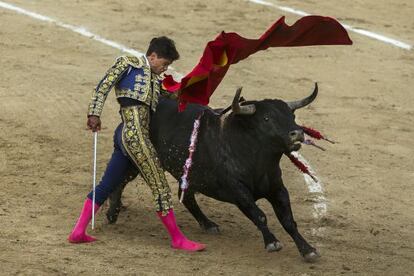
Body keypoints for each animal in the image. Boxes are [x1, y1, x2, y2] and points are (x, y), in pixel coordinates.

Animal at [106, 83, 320, 262]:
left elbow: (288, 220)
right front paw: (272, 242)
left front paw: (308, 250)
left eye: (292, 116)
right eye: (267, 118)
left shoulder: (277, 189)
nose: (297, 133)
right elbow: (259, 215)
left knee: (186, 196)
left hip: (188, 175)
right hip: (135, 162)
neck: (256, 160)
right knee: (119, 181)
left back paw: (208, 224)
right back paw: (112, 213)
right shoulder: (238, 191)